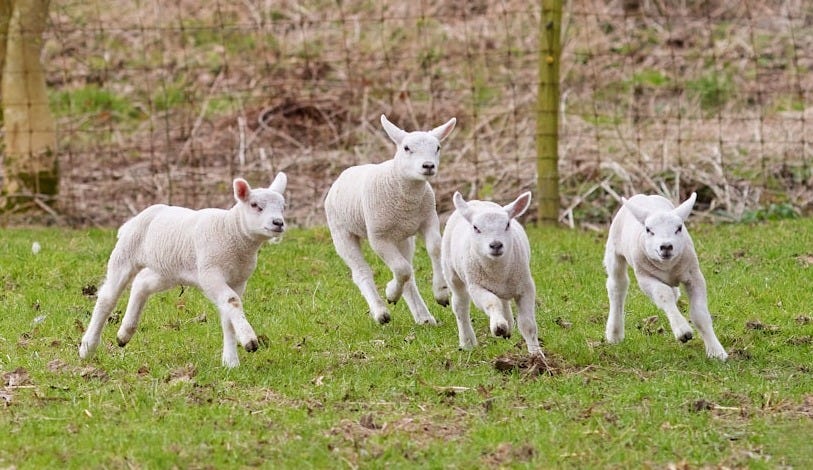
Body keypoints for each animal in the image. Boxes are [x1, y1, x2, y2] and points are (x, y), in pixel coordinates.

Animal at [79, 173, 288, 368]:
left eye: (283, 207)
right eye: (255, 205)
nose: (278, 223)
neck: (232, 232)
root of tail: (133, 220)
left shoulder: (239, 279)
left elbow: (228, 316)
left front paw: (230, 361)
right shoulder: (209, 272)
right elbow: (232, 302)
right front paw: (249, 341)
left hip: (167, 270)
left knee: (142, 283)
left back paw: (124, 334)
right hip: (125, 254)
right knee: (107, 298)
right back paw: (87, 347)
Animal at [324, 114, 456, 325]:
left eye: (437, 147)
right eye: (406, 148)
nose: (428, 166)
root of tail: (344, 173)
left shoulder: (428, 220)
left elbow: (434, 248)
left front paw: (441, 293)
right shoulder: (378, 237)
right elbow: (401, 269)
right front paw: (391, 293)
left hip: (403, 237)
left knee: (409, 274)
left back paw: (424, 318)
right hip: (341, 232)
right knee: (362, 272)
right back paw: (381, 312)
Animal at [441, 191, 543, 356]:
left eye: (507, 225)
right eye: (476, 228)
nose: (496, 245)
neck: (497, 271)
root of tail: (475, 201)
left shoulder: (526, 287)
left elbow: (527, 324)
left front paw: (536, 354)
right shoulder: (476, 287)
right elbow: (491, 302)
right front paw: (498, 326)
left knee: (503, 301)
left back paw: (508, 326)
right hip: (452, 274)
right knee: (460, 306)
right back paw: (467, 342)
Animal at [603, 192, 728, 360]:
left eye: (679, 228)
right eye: (648, 230)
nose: (666, 246)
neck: (667, 266)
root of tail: (643, 195)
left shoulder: (694, 275)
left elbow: (700, 314)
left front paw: (716, 352)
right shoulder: (645, 277)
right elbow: (663, 294)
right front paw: (683, 331)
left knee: (673, 293)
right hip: (615, 250)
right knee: (618, 286)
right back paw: (615, 333)